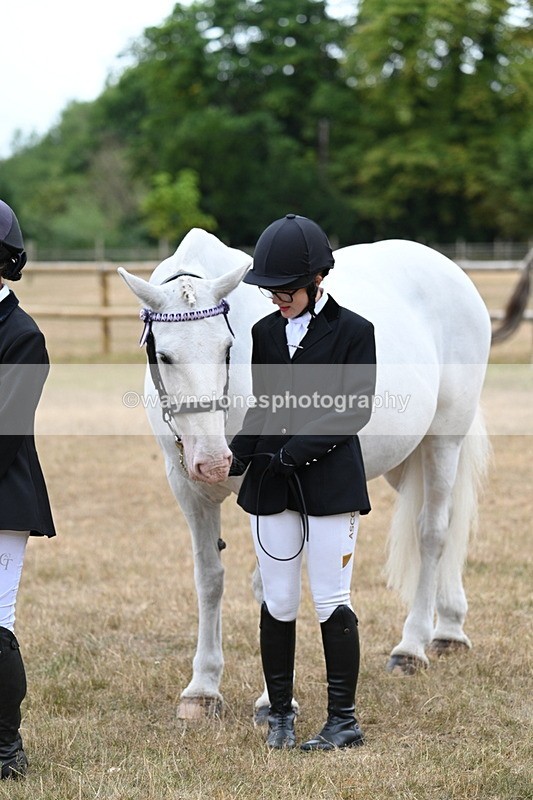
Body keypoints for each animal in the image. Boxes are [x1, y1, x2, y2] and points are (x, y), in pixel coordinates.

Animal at [118, 229, 492, 721]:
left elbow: (268, 585)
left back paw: (412, 647)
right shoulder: (188, 490)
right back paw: (448, 629)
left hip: (443, 441)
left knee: (433, 533)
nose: (214, 461)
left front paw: (272, 700)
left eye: (227, 349)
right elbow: (210, 579)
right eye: (164, 355)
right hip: (403, 459)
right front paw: (203, 689)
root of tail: (450, 270)